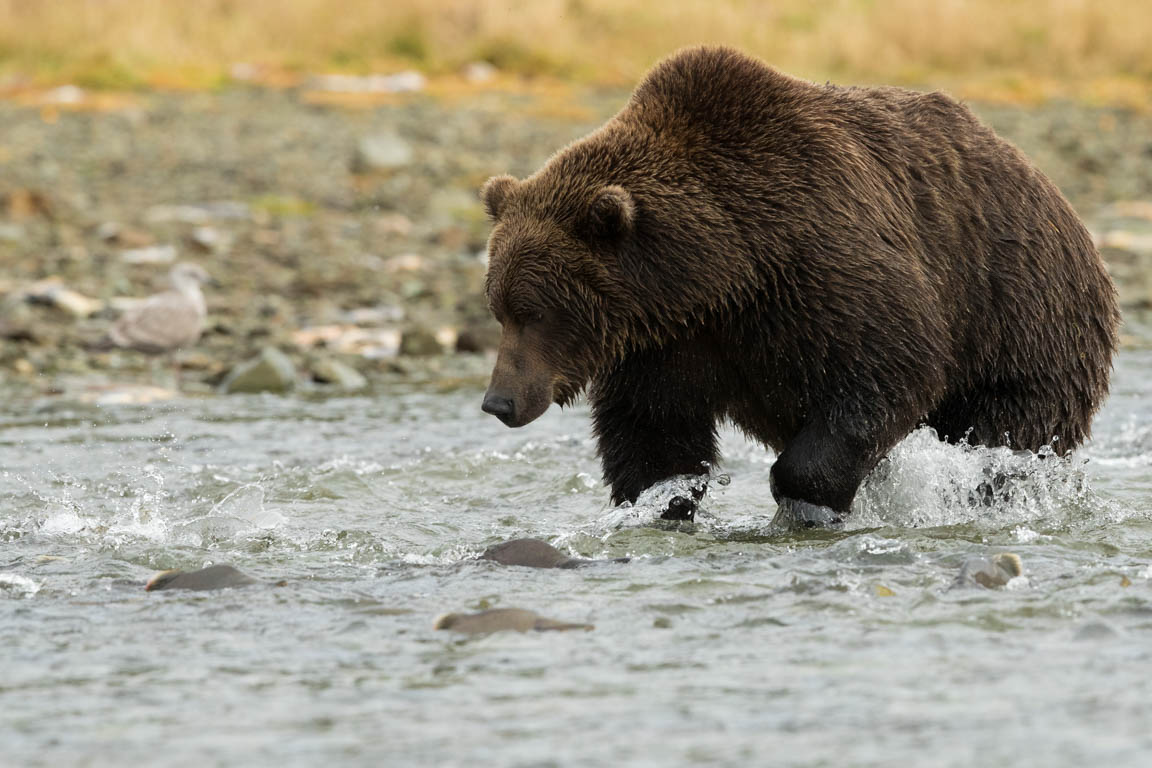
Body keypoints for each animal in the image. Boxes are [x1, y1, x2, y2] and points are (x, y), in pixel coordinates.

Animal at [474, 45, 1115, 529]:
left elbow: (892, 363)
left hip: (1018, 315)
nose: (498, 401)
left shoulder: (817, 268)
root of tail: (1055, 192)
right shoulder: (665, 342)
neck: (719, 275)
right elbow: (653, 431)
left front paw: (805, 500)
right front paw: (662, 502)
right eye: (499, 308)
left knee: (1006, 437)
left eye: (533, 311)